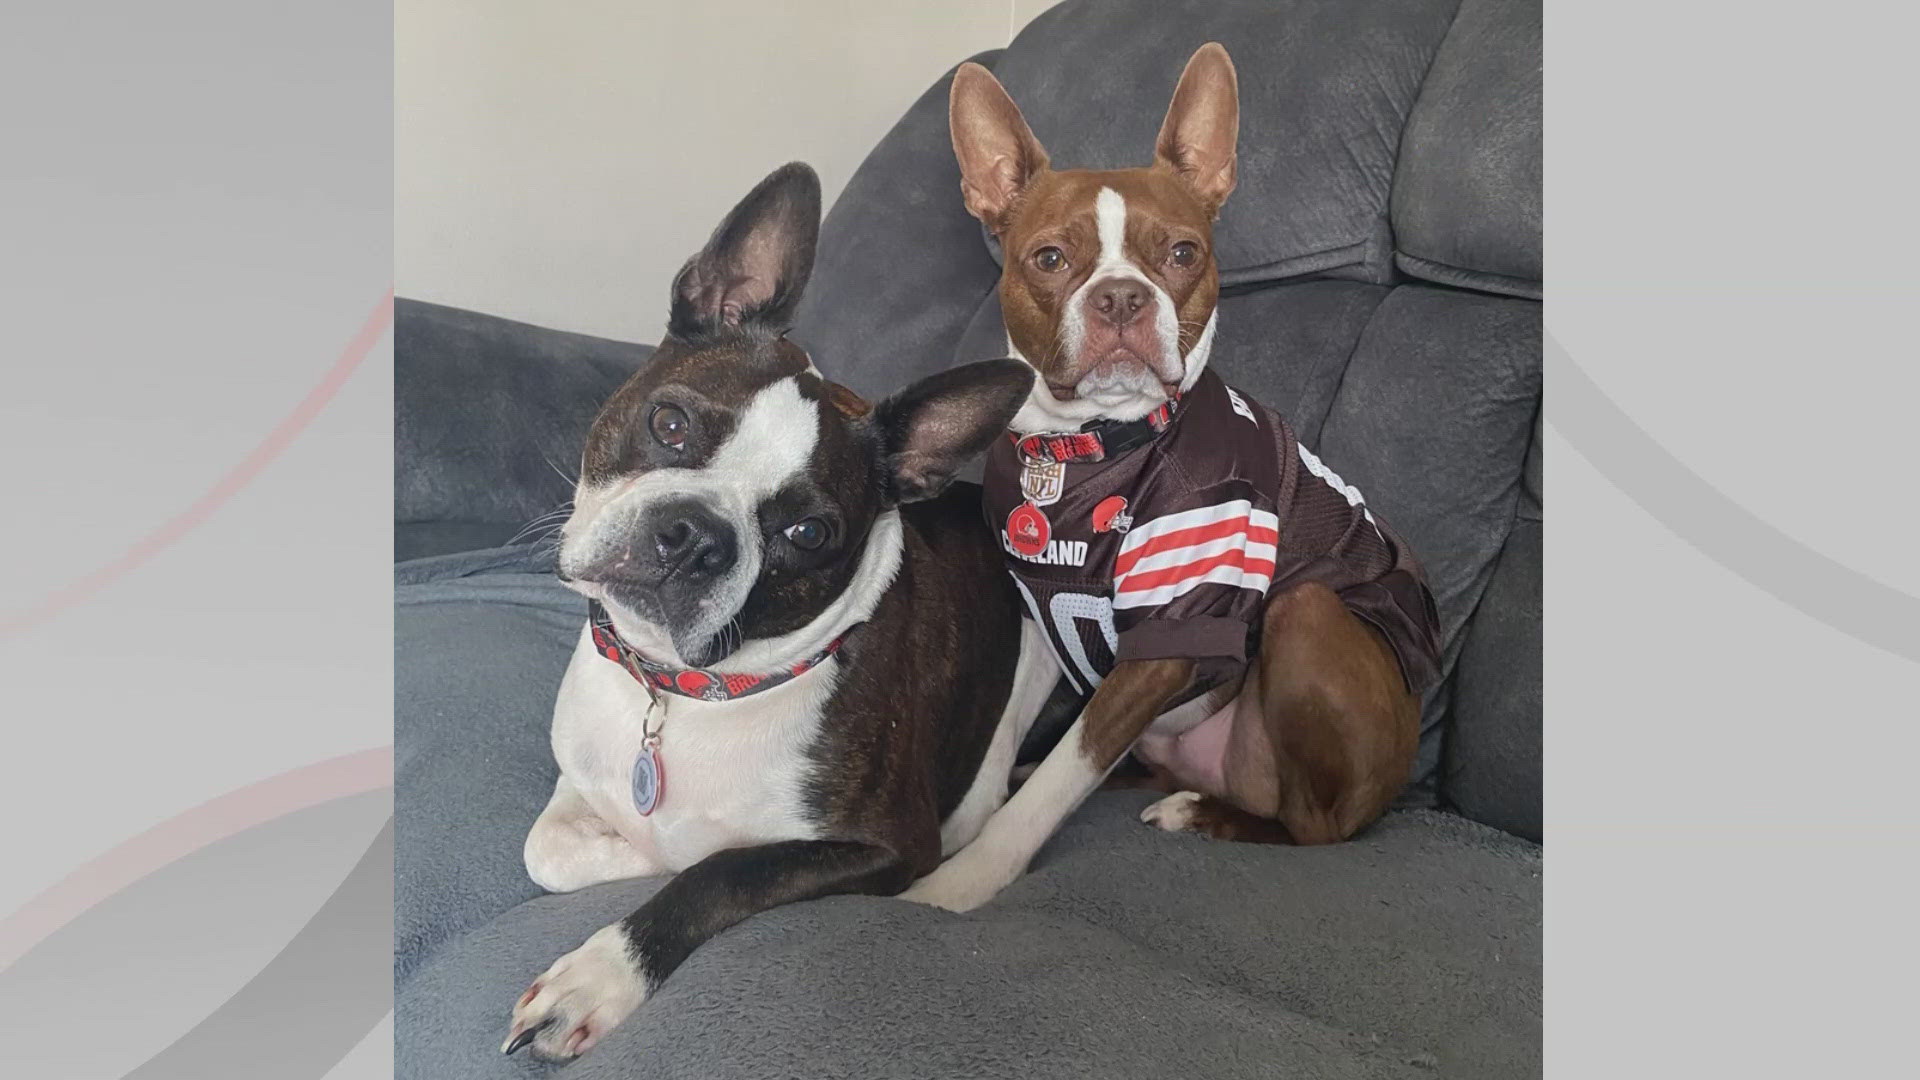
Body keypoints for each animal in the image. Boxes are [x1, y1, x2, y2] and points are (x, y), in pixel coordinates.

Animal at [503, 164, 1059, 1053]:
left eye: (807, 533)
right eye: (669, 422)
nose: (693, 537)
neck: (684, 692)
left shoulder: (889, 846)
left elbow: (716, 871)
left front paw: (601, 972)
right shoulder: (577, 780)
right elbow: (547, 849)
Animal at [902, 48, 1443, 907]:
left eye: (1183, 253)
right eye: (1049, 259)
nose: (1122, 296)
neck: (1089, 450)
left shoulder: (1168, 635)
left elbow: (1060, 778)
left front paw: (959, 886)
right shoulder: (1041, 610)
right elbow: (1003, 741)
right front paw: (965, 827)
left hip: (1309, 619)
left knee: (1314, 826)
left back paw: (1204, 814)